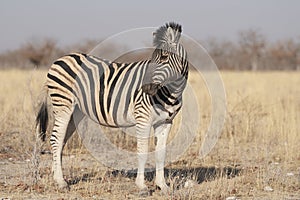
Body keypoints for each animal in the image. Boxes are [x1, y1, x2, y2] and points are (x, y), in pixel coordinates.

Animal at [36, 22, 189, 194]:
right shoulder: (143, 118)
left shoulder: (165, 122)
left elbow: (161, 153)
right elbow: (142, 151)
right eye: (153, 58)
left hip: (75, 112)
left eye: (164, 57)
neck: (171, 92)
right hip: (63, 104)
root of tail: (60, 58)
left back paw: (56, 176)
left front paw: (163, 185)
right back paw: (60, 182)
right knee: (56, 139)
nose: (145, 88)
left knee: (61, 141)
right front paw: (142, 186)